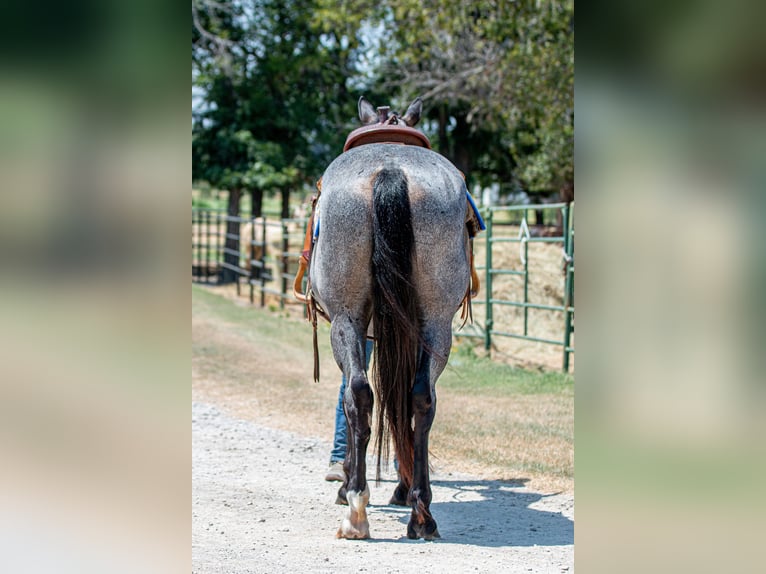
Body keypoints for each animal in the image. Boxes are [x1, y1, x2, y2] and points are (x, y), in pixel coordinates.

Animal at [308, 97, 476, 544]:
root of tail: (390, 171)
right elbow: (402, 398)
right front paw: (402, 487)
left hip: (345, 320)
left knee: (358, 394)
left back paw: (356, 507)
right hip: (436, 323)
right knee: (419, 397)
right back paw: (421, 513)